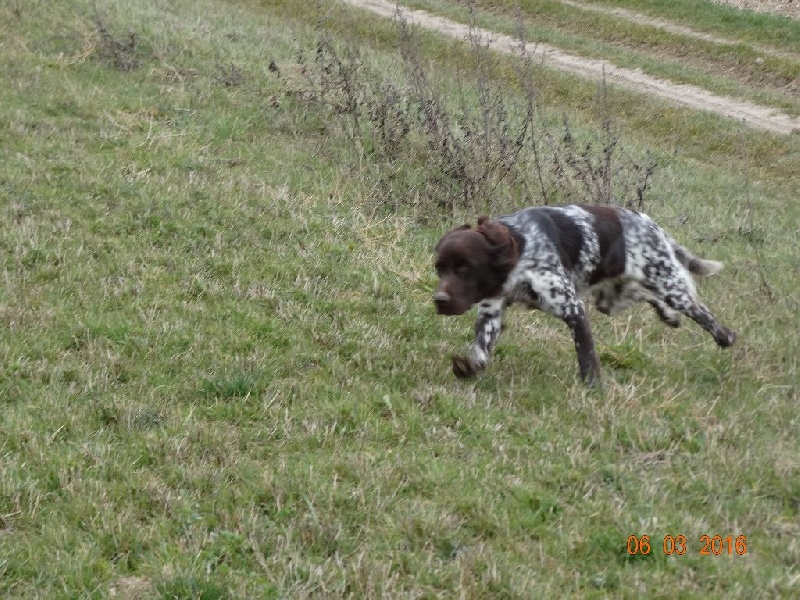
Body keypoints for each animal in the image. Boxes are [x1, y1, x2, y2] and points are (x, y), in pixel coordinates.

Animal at [434, 205, 736, 384]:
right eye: (439, 269)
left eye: (464, 268)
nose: (439, 300)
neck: (518, 246)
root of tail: (651, 224)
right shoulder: (491, 312)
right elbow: (481, 351)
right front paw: (469, 368)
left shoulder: (572, 308)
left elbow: (586, 354)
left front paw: (593, 386)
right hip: (611, 298)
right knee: (645, 294)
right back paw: (669, 316)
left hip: (668, 283)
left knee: (700, 310)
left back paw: (724, 336)